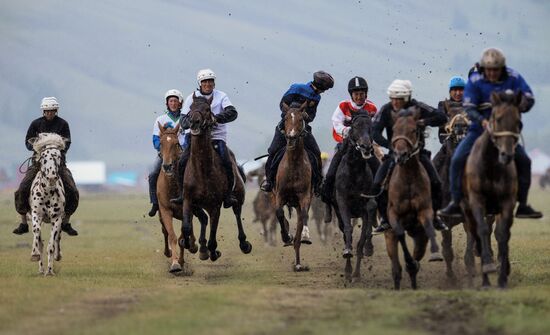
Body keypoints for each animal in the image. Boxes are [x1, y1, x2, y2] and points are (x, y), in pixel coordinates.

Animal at [27, 133, 68, 276]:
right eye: (43, 156)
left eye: (59, 156)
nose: (51, 177)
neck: (48, 192)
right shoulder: (36, 215)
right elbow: (37, 235)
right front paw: (35, 255)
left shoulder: (57, 218)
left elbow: (51, 245)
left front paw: (50, 271)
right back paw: (40, 269)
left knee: (57, 239)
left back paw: (57, 256)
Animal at [181, 94, 252, 262]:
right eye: (190, 108)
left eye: (207, 109)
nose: (194, 122)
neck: (202, 171)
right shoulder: (188, 200)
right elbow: (186, 226)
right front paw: (188, 244)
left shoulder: (215, 206)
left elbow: (213, 234)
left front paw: (213, 252)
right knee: (204, 220)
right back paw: (202, 248)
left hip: (238, 197)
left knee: (237, 213)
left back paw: (243, 244)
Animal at [328, 112, 380, 280]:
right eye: (355, 126)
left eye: (371, 127)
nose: (366, 147)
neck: (355, 171)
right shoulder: (342, 201)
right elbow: (348, 230)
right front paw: (347, 255)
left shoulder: (365, 208)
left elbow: (363, 238)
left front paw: (357, 271)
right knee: (345, 230)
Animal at [386, 110, 446, 292]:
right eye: (394, 129)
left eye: (413, 130)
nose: (401, 155)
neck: (408, 179)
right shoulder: (393, 214)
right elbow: (399, 233)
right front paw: (409, 262)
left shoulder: (424, 210)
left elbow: (428, 224)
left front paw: (435, 253)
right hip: (389, 237)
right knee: (396, 268)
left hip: (419, 236)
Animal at [464, 91, 524, 288]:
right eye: (497, 119)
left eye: (518, 121)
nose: (506, 155)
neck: (491, 167)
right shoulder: (476, 201)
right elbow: (482, 231)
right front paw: (486, 272)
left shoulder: (506, 202)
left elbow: (502, 233)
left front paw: (502, 275)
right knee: (475, 231)